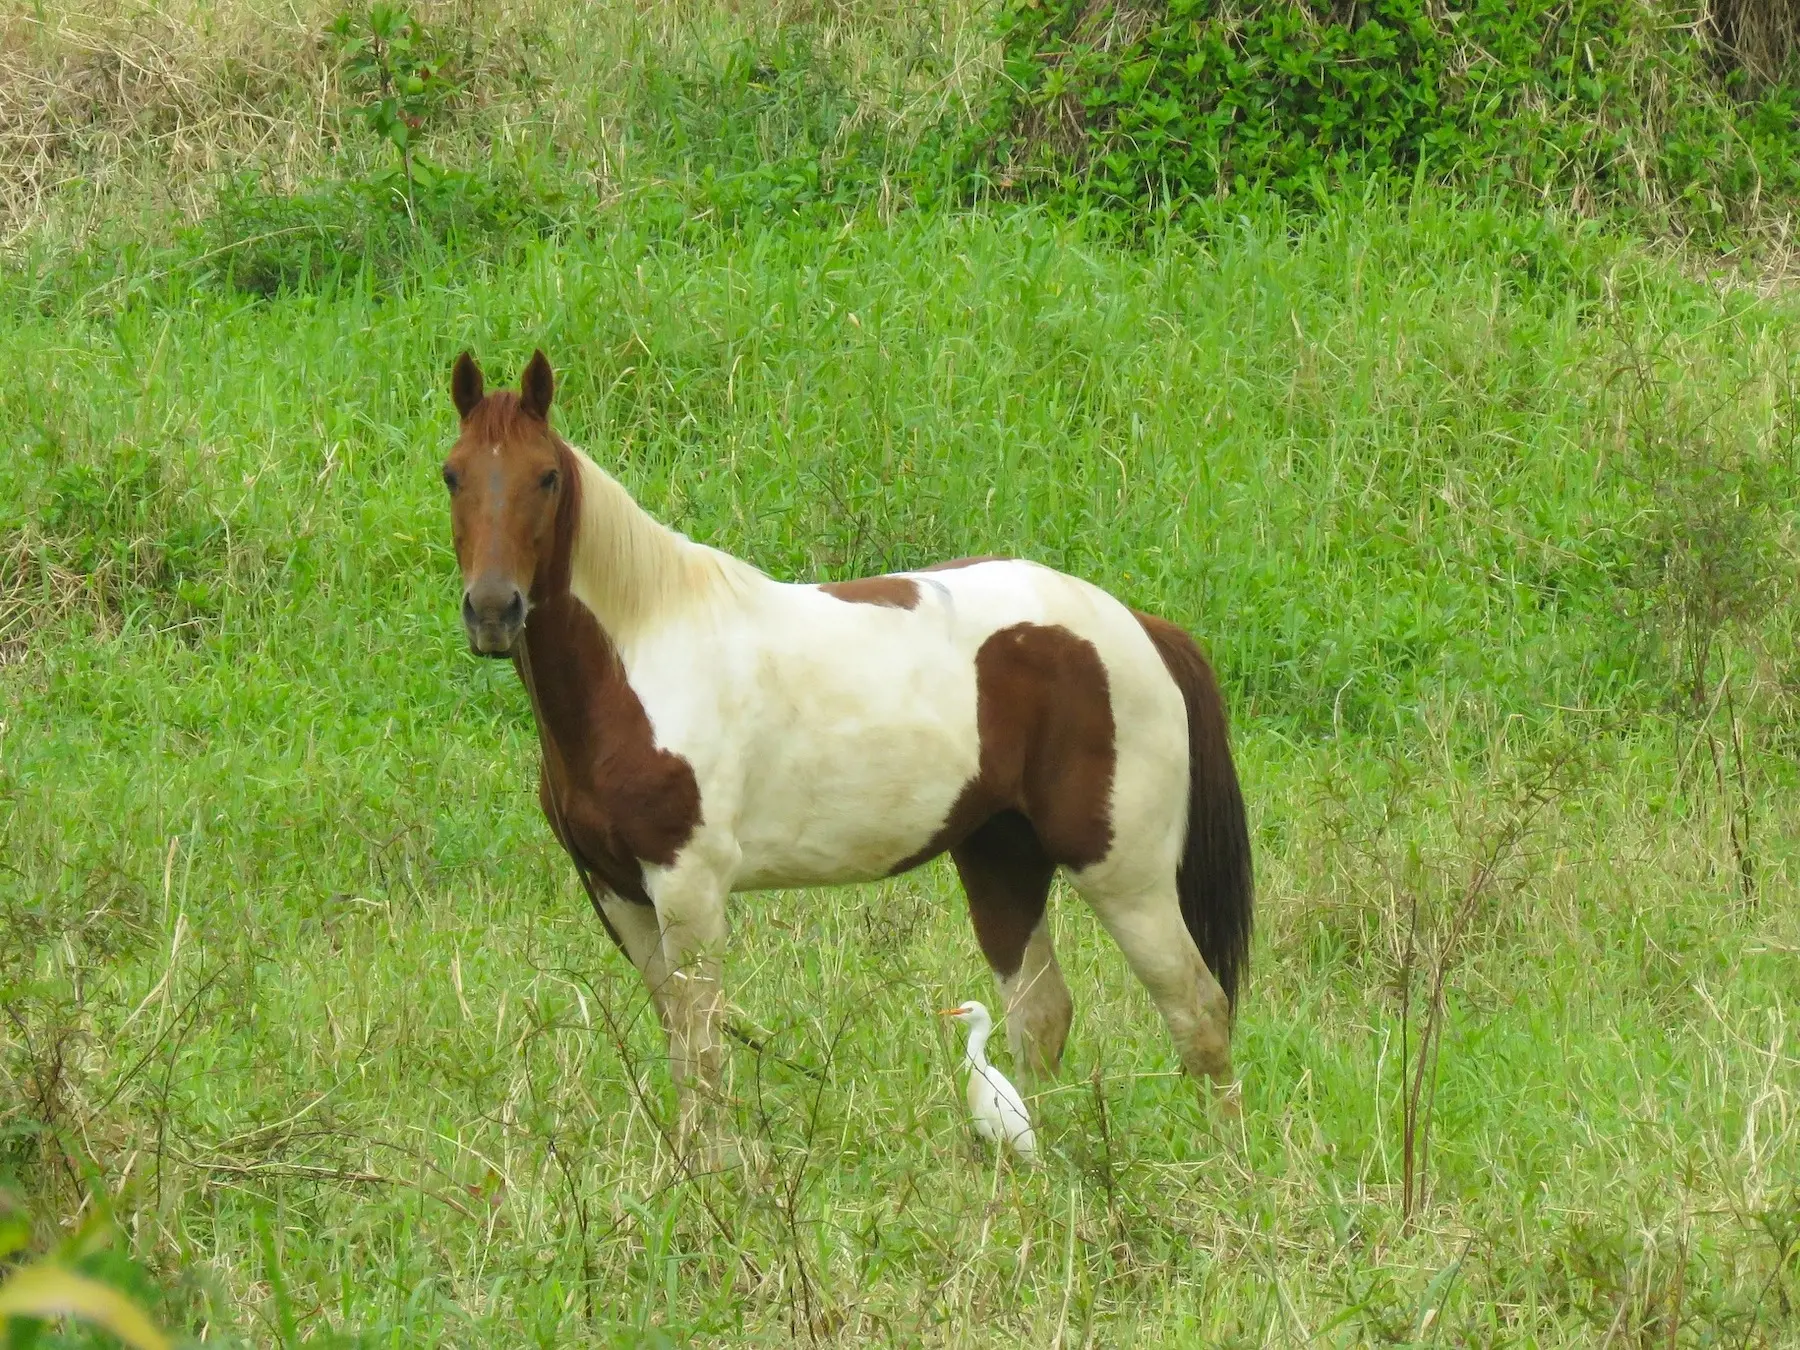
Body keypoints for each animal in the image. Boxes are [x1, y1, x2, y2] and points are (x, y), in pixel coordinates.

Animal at [442, 354, 1252, 1144]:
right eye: (452, 473)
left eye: (545, 477)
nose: (493, 611)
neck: (640, 659)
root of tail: (1141, 627)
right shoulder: (617, 890)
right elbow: (678, 1043)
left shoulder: (689, 886)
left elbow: (702, 1053)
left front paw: (711, 1174)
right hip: (1002, 856)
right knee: (1041, 1016)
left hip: (1124, 874)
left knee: (1198, 1010)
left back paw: (1224, 1161)